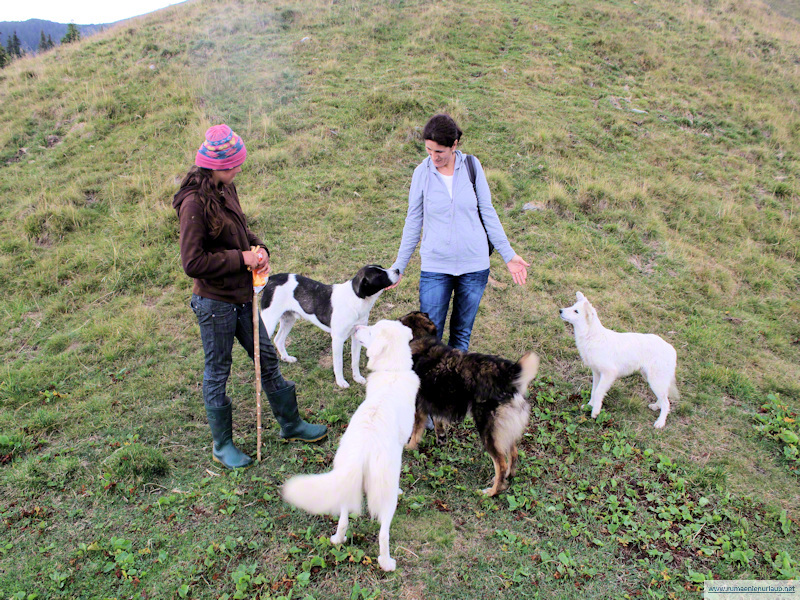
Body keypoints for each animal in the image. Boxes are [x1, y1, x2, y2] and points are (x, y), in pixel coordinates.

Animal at [260, 266, 400, 390]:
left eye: (381, 267)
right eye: (379, 274)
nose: (398, 270)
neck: (355, 300)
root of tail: (271, 278)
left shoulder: (357, 335)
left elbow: (355, 360)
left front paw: (357, 378)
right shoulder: (337, 340)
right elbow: (338, 364)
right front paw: (341, 382)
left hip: (288, 319)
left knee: (278, 340)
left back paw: (287, 358)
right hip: (268, 322)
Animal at [282, 318, 418, 572]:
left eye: (371, 330)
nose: (355, 329)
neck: (392, 372)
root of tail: (364, 449)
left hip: (346, 480)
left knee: (344, 520)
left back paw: (338, 539)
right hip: (385, 497)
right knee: (383, 534)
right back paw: (387, 563)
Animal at [398, 312, 540, 494]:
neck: (422, 340)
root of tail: (509, 374)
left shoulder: (419, 408)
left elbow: (416, 432)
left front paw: (409, 448)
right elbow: (438, 422)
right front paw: (441, 439)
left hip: (488, 431)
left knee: (500, 463)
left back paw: (491, 492)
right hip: (504, 431)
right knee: (513, 454)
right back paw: (508, 477)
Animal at [560, 290, 680, 426]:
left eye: (576, 311)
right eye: (572, 306)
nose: (560, 311)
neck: (592, 336)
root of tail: (672, 349)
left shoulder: (609, 373)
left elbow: (598, 391)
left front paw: (595, 412)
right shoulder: (596, 373)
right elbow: (593, 391)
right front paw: (589, 406)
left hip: (655, 380)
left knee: (667, 403)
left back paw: (660, 423)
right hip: (651, 378)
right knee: (664, 397)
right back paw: (655, 407)